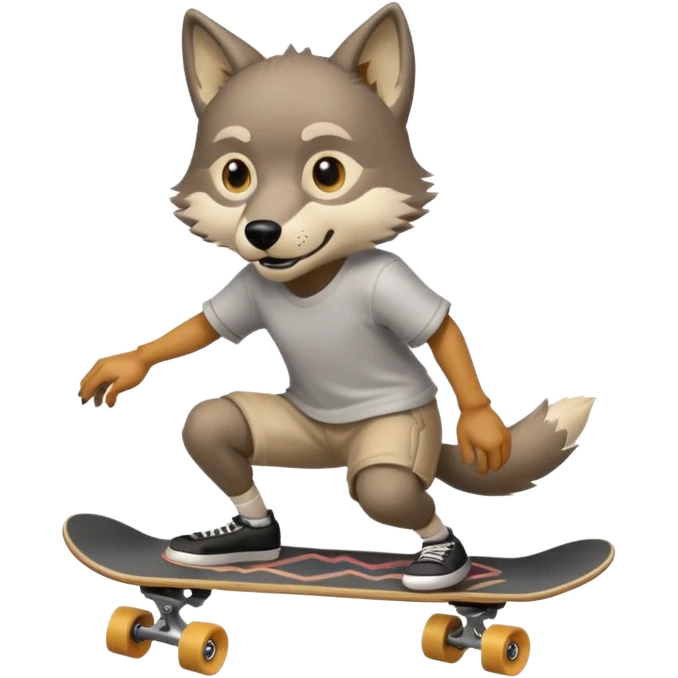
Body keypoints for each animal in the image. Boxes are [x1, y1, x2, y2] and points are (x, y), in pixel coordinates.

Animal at [78, 3, 596, 592]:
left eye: (328, 172)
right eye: (235, 174)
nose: (260, 231)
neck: (313, 278)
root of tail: (338, 441)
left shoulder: (388, 282)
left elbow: (442, 333)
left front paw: (483, 428)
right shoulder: (252, 285)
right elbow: (202, 329)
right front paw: (125, 365)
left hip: (403, 437)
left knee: (385, 486)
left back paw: (446, 562)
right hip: (301, 432)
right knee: (212, 424)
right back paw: (252, 540)